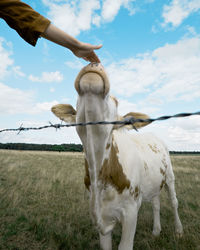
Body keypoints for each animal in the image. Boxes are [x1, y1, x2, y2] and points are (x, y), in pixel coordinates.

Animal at [51, 64, 183, 250]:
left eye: (116, 101)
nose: (93, 65)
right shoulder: (104, 215)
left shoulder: (131, 211)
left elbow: (125, 246)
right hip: (154, 180)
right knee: (156, 202)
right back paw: (156, 231)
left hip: (170, 175)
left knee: (173, 202)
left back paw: (178, 230)